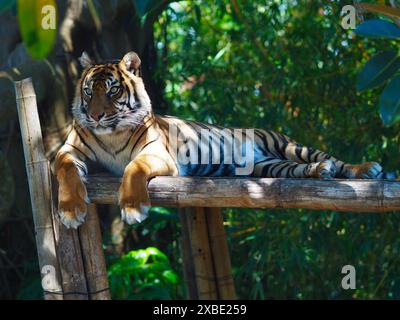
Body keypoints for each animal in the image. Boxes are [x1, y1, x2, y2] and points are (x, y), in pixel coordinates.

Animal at [55, 51, 394, 229]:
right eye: (89, 91)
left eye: (112, 90)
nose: (96, 116)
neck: (111, 135)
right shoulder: (69, 150)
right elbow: (66, 170)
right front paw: (70, 211)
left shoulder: (157, 154)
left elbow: (132, 168)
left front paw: (133, 208)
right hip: (270, 167)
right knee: (305, 169)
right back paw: (320, 172)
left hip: (288, 145)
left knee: (332, 158)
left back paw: (365, 169)